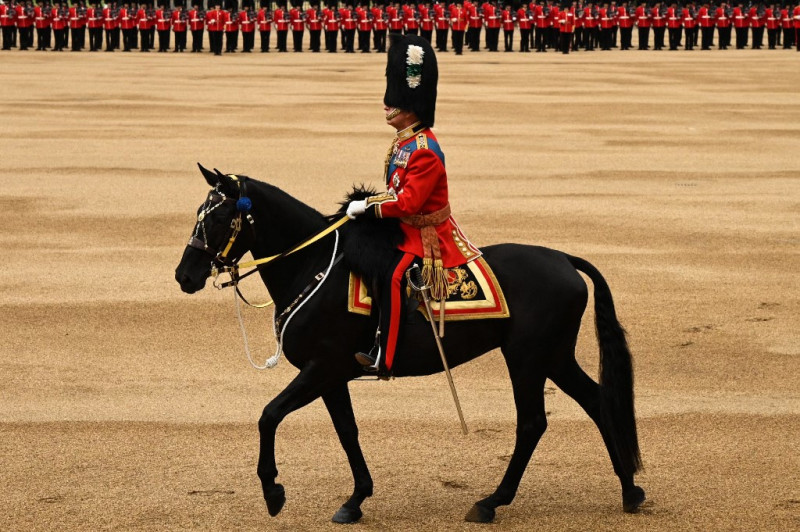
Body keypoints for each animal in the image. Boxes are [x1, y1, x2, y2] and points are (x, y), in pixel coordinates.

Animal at [173, 166, 644, 524]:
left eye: (218, 219)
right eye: (199, 214)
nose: (184, 276)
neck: (312, 265)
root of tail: (564, 258)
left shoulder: (321, 366)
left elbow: (269, 416)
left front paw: (273, 491)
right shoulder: (331, 374)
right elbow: (346, 431)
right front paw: (355, 499)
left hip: (527, 358)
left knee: (532, 423)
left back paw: (492, 502)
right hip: (554, 356)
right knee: (598, 400)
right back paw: (629, 490)